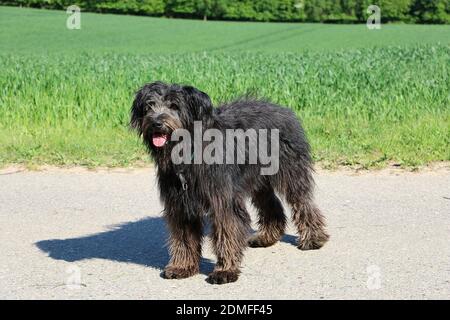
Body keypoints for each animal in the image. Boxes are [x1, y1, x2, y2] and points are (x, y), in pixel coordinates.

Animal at [129, 81, 326, 284]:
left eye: (174, 106)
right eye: (149, 106)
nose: (156, 123)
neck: (190, 151)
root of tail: (281, 108)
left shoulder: (222, 199)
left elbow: (227, 231)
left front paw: (225, 271)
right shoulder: (180, 203)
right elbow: (183, 237)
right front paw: (182, 266)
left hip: (290, 170)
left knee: (302, 202)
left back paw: (313, 238)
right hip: (257, 181)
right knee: (271, 206)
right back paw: (266, 237)